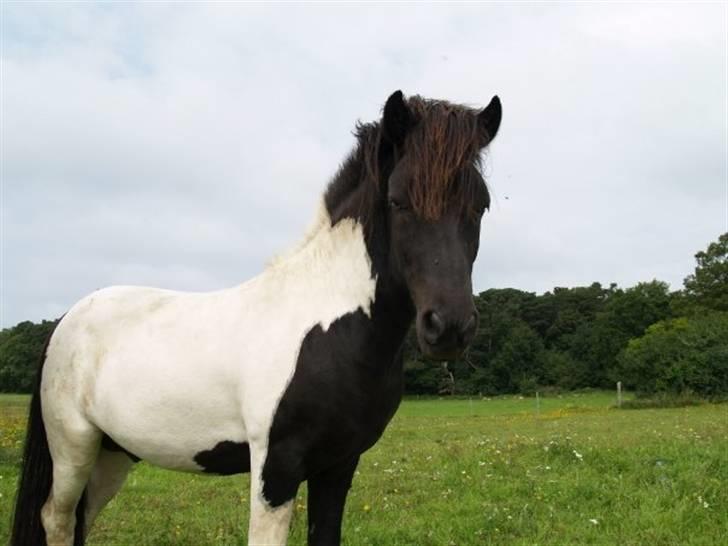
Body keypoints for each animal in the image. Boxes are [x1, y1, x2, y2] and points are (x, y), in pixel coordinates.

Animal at [9, 90, 500, 544]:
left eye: (481, 205)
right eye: (398, 201)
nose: (449, 327)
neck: (328, 330)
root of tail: (66, 320)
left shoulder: (338, 466)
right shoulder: (275, 469)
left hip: (114, 454)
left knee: (81, 520)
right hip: (73, 448)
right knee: (57, 519)